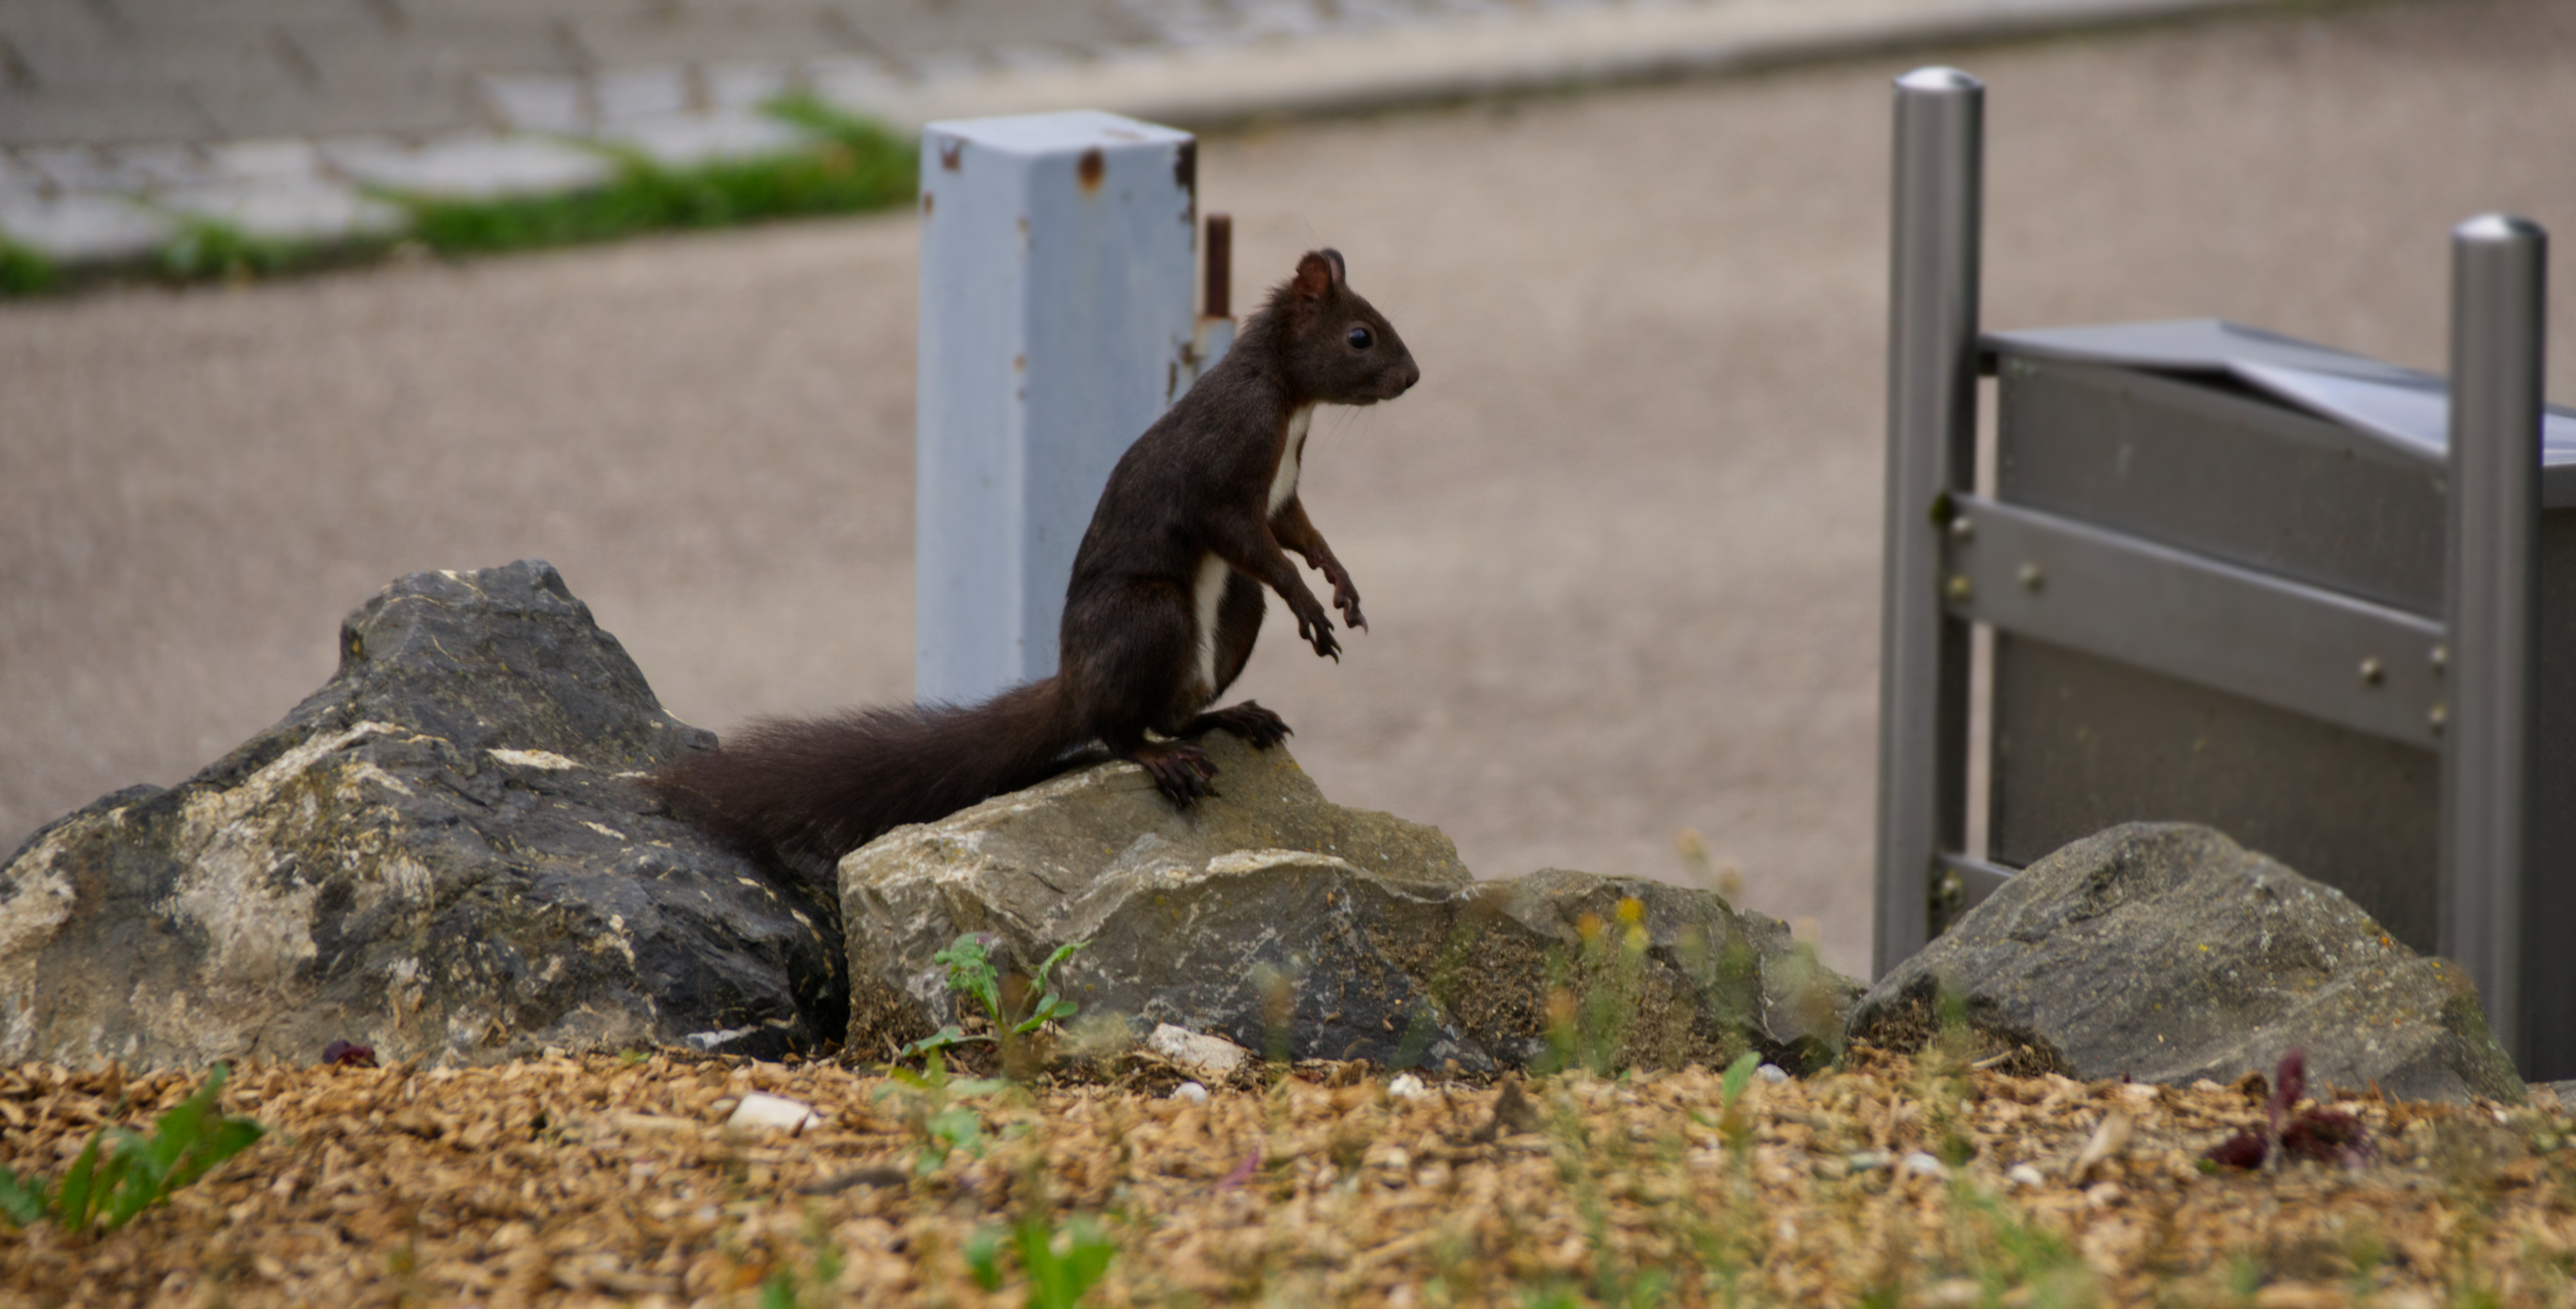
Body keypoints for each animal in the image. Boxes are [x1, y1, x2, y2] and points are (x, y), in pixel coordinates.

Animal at [656, 249, 1421, 874]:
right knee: (1119, 729)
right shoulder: (1223, 476)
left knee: (1172, 711)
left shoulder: (1281, 494)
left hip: (1232, 613)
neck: (1289, 402)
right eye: (1360, 336)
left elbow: (1301, 534)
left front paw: (1341, 584)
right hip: (1151, 614)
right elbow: (1257, 545)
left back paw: (1231, 718)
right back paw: (1161, 758)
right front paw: (1310, 605)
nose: (1413, 377)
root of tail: (1074, 682)